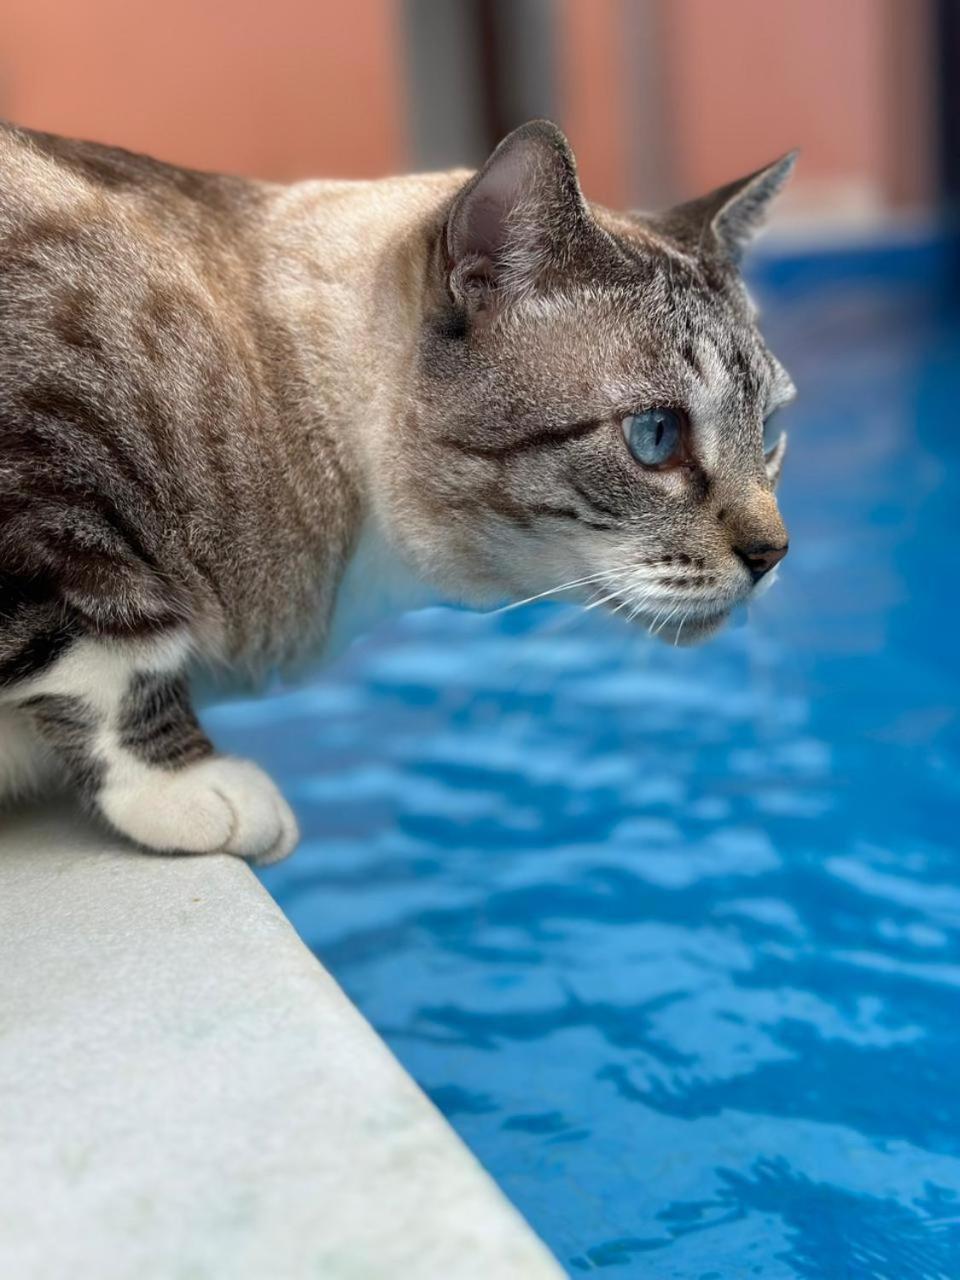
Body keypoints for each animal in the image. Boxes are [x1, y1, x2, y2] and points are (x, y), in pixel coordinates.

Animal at [0, 120, 798, 865]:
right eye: (657, 435)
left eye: (768, 430)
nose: (773, 555)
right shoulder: (47, 485)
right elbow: (110, 652)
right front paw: (188, 789)